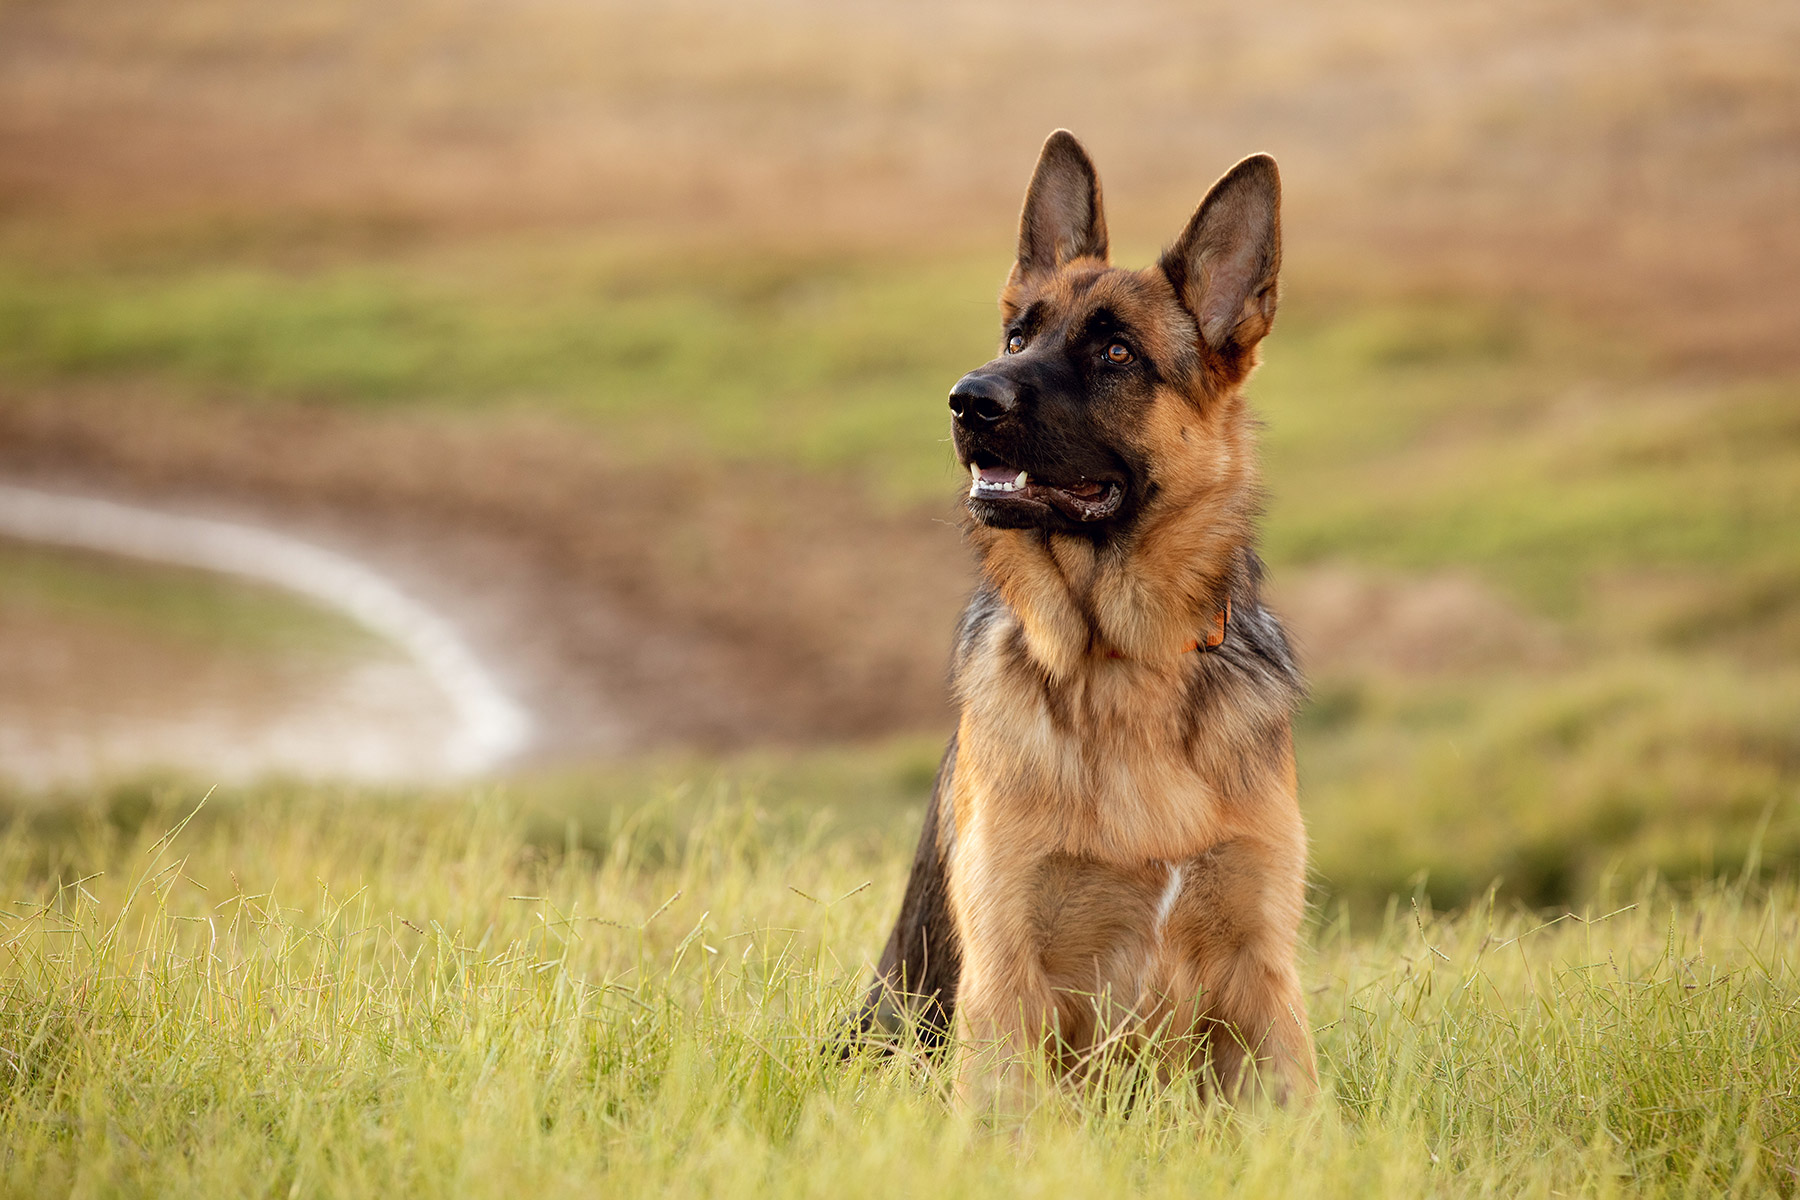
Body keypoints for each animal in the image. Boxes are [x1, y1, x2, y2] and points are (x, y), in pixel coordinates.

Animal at [856, 129, 1324, 1108]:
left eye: (1115, 354)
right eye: (1017, 335)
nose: (969, 399)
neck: (1123, 661)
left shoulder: (1262, 973)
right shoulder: (1008, 976)